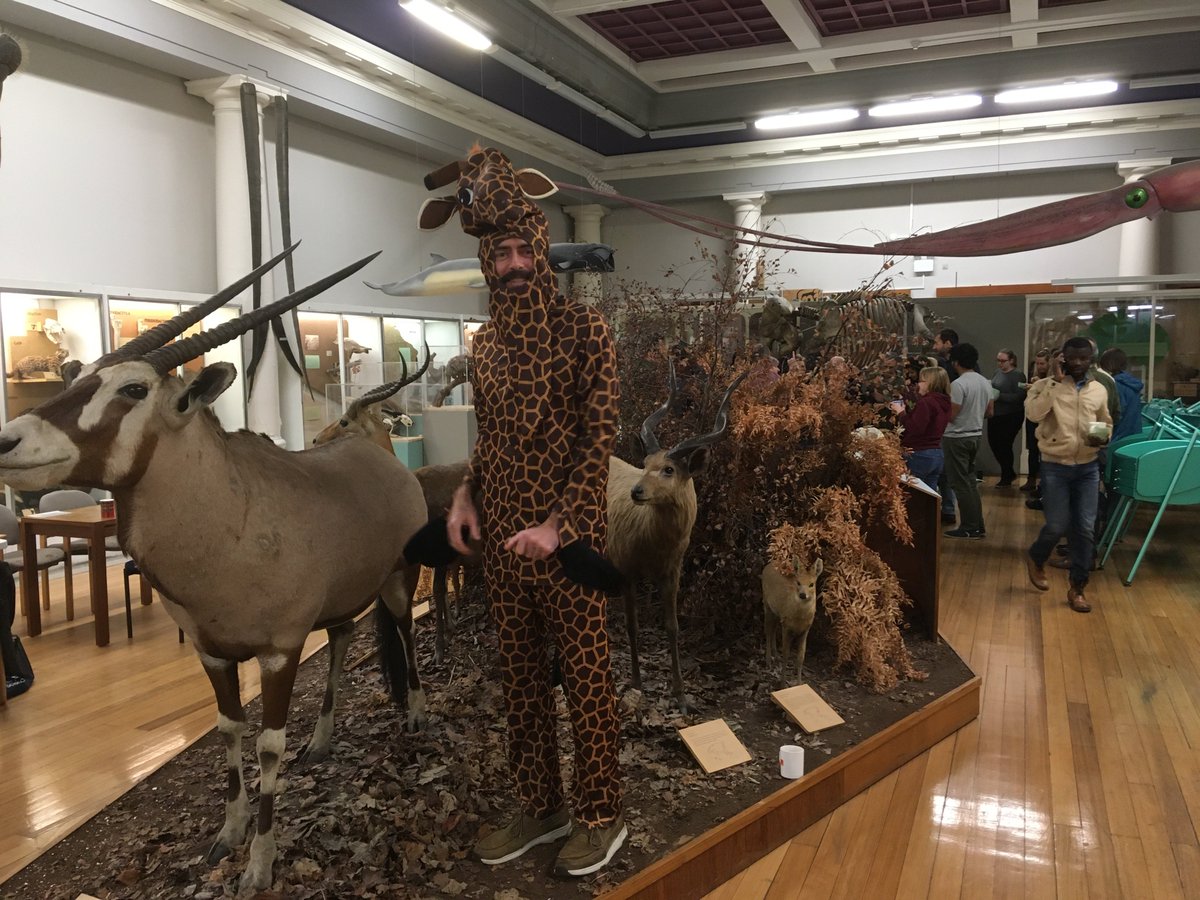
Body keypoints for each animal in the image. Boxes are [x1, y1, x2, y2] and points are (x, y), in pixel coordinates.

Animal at [0, 248, 432, 895]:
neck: (232, 517)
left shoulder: (279, 651)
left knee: (403, 629)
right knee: (340, 638)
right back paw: (323, 740)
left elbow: (269, 745)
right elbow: (229, 729)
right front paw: (228, 834)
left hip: (400, 578)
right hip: (340, 602)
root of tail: (382, 459)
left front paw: (260, 863)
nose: (7, 439)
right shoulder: (213, 653)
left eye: (133, 388)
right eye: (75, 379)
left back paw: (414, 713)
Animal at [606, 361, 747, 712]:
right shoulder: (625, 570)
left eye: (669, 469)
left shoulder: (673, 572)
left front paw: (681, 696)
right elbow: (632, 626)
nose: (637, 491)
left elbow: (672, 627)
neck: (652, 546)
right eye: (645, 463)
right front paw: (637, 683)